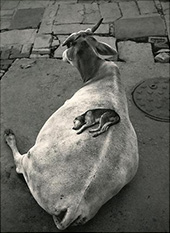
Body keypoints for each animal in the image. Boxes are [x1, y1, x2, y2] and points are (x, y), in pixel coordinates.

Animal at [3, 19, 139, 230]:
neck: (98, 73)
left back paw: (10, 136)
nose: (62, 54)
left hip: (30, 161)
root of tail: (74, 206)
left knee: (19, 163)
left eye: (69, 43)